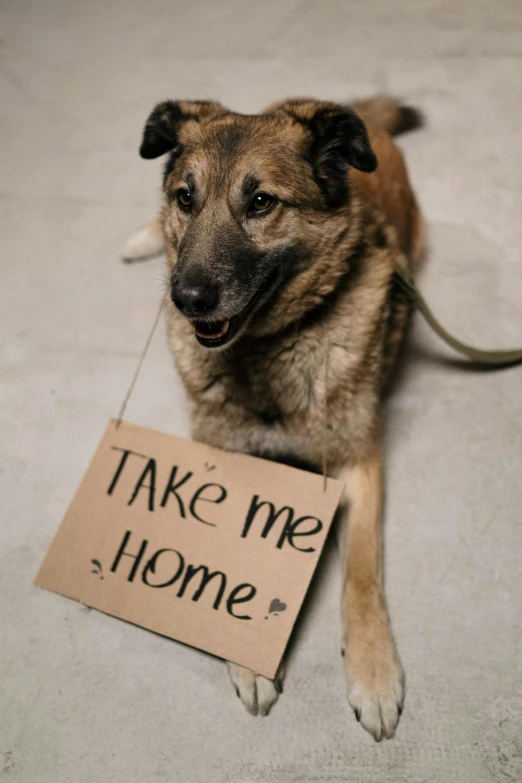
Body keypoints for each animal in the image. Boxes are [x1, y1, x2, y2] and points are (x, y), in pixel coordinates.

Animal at [124, 96, 424, 740]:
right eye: (186, 198)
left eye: (261, 202)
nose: (185, 299)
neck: (267, 346)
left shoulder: (358, 465)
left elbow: (362, 572)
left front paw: (374, 672)